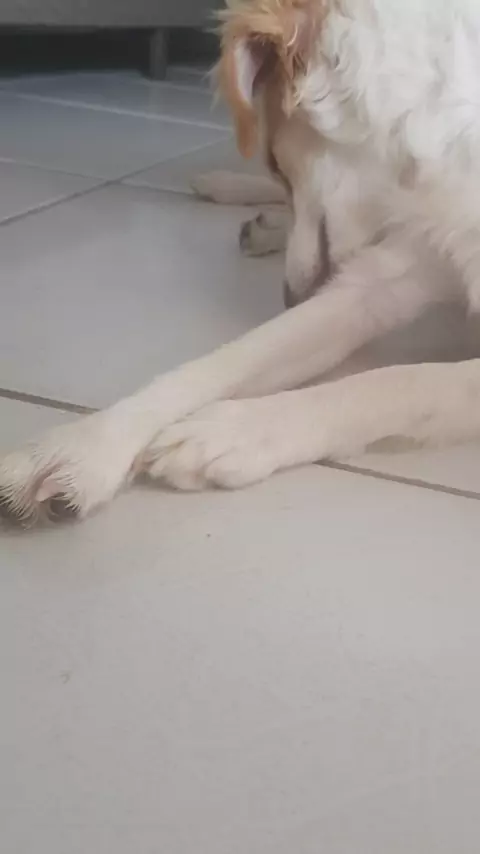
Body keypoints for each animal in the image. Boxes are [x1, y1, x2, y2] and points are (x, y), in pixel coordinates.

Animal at [1, 0, 480, 525]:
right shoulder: (385, 276)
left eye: (276, 159)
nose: (291, 297)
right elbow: (219, 362)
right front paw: (78, 446)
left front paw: (234, 430)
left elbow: (402, 381)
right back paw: (236, 196)